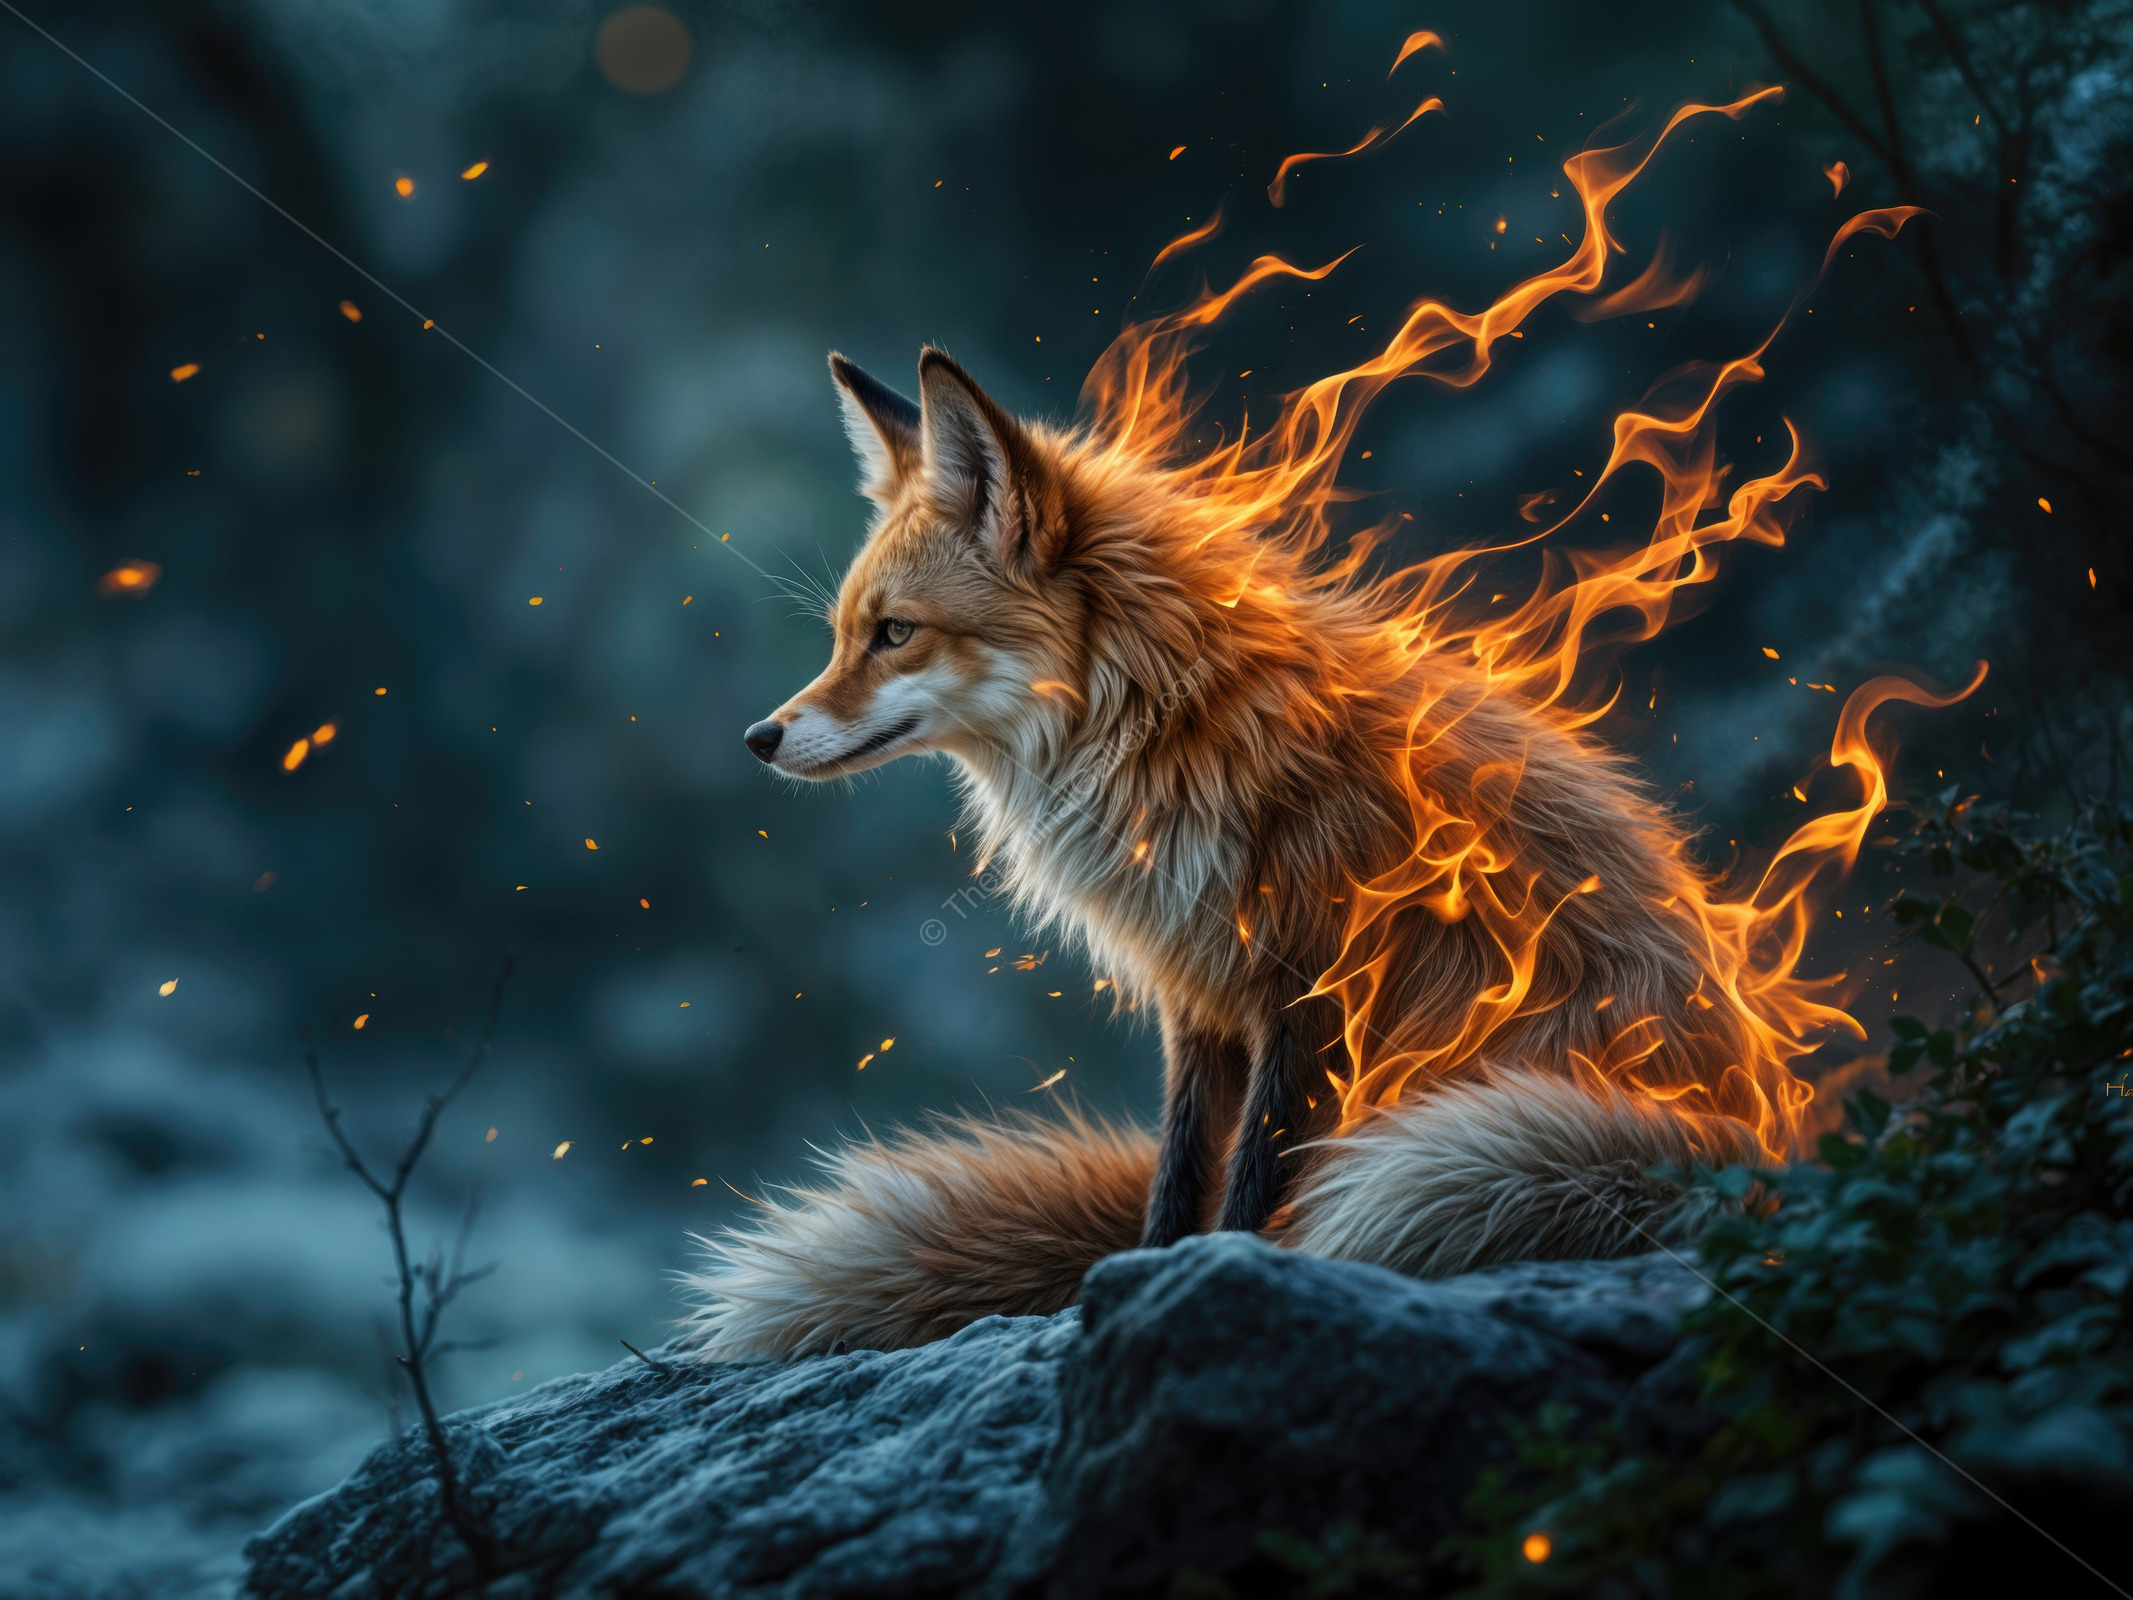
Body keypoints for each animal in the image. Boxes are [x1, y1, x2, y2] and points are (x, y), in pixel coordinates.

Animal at [677, 345, 1792, 1362]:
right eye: (844, 635)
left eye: (896, 633)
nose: (759, 738)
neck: (1174, 734)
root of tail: (1758, 1156)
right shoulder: (1199, 994)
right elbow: (1178, 1181)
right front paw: (1135, 1282)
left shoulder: (1313, 992)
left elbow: (1250, 1185)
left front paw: (1228, 1275)